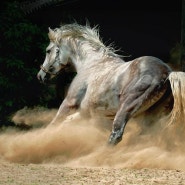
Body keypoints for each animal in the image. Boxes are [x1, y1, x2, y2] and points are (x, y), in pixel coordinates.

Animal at [36, 22, 185, 145]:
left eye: (48, 50)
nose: (40, 76)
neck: (91, 64)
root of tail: (167, 73)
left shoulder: (69, 103)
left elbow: (54, 123)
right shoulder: (88, 114)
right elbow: (67, 122)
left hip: (127, 107)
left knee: (116, 135)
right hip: (149, 117)